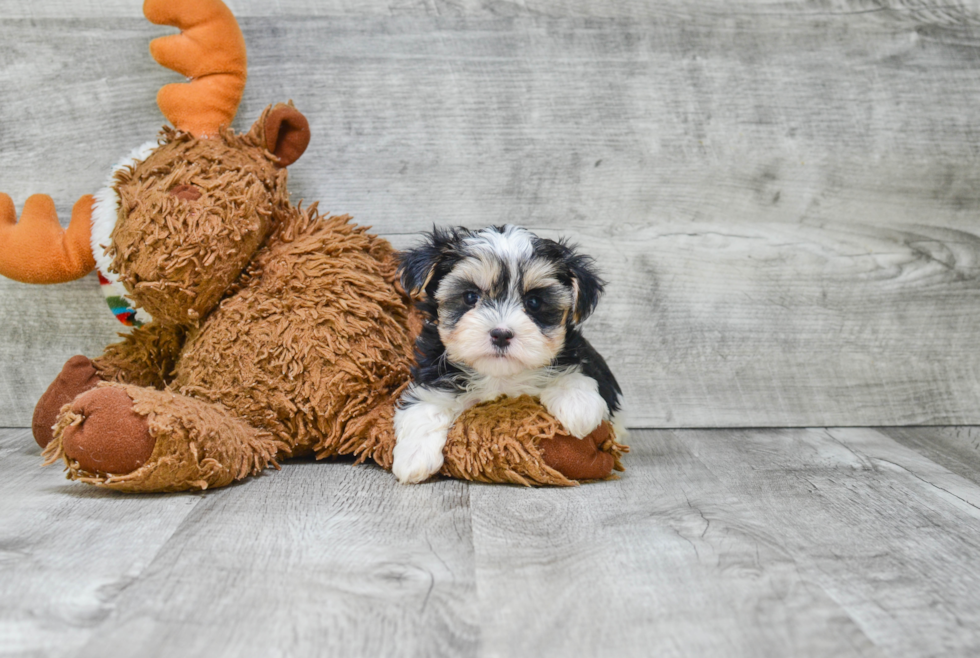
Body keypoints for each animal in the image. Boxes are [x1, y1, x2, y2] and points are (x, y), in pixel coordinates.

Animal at [394, 224, 624, 482]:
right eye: (470, 296)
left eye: (534, 302)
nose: (501, 334)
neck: (501, 377)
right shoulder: (434, 374)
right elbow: (425, 406)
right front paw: (414, 457)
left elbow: (574, 373)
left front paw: (579, 406)